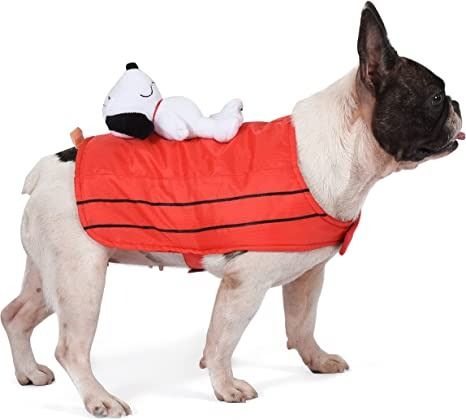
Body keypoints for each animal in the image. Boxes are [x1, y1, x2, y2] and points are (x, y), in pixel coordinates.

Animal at [0, 2, 462, 416]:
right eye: (436, 97)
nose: (458, 104)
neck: (346, 149)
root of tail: (47, 168)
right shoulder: (244, 284)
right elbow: (223, 338)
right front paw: (225, 387)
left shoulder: (308, 275)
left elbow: (302, 323)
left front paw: (316, 360)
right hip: (82, 279)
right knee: (71, 347)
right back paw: (100, 399)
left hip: (50, 274)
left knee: (16, 314)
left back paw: (28, 373)